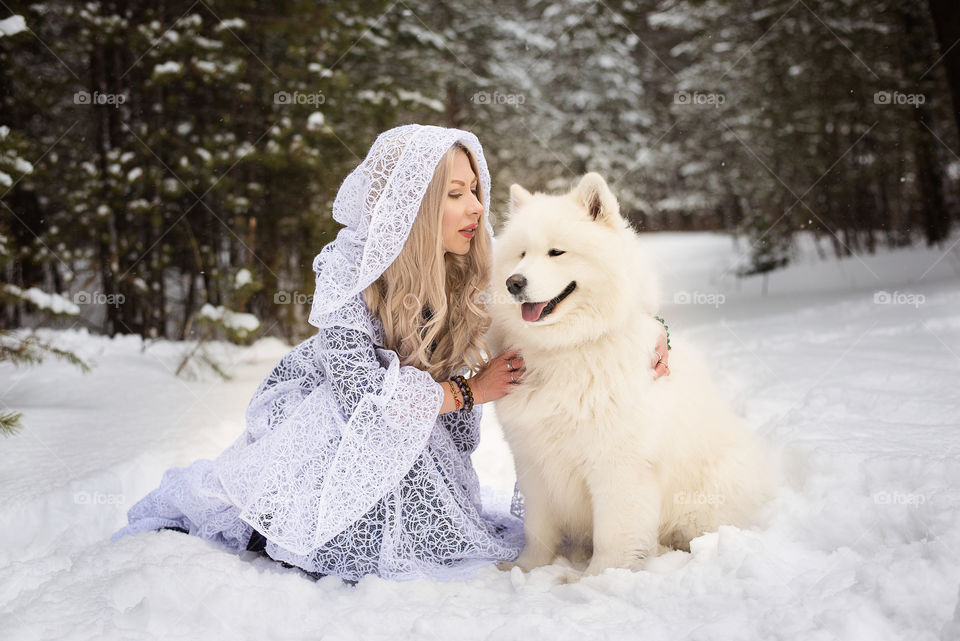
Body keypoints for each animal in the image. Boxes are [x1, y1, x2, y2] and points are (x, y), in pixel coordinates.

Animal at [488, 172, 772, 576]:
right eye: (522, 254)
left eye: (556, 252)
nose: (514, 282)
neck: (570, 349)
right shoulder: (533, 462)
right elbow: (537, 528)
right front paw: (527, 569)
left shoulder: (617, 465)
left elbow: (613, 534)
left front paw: (597, 579)